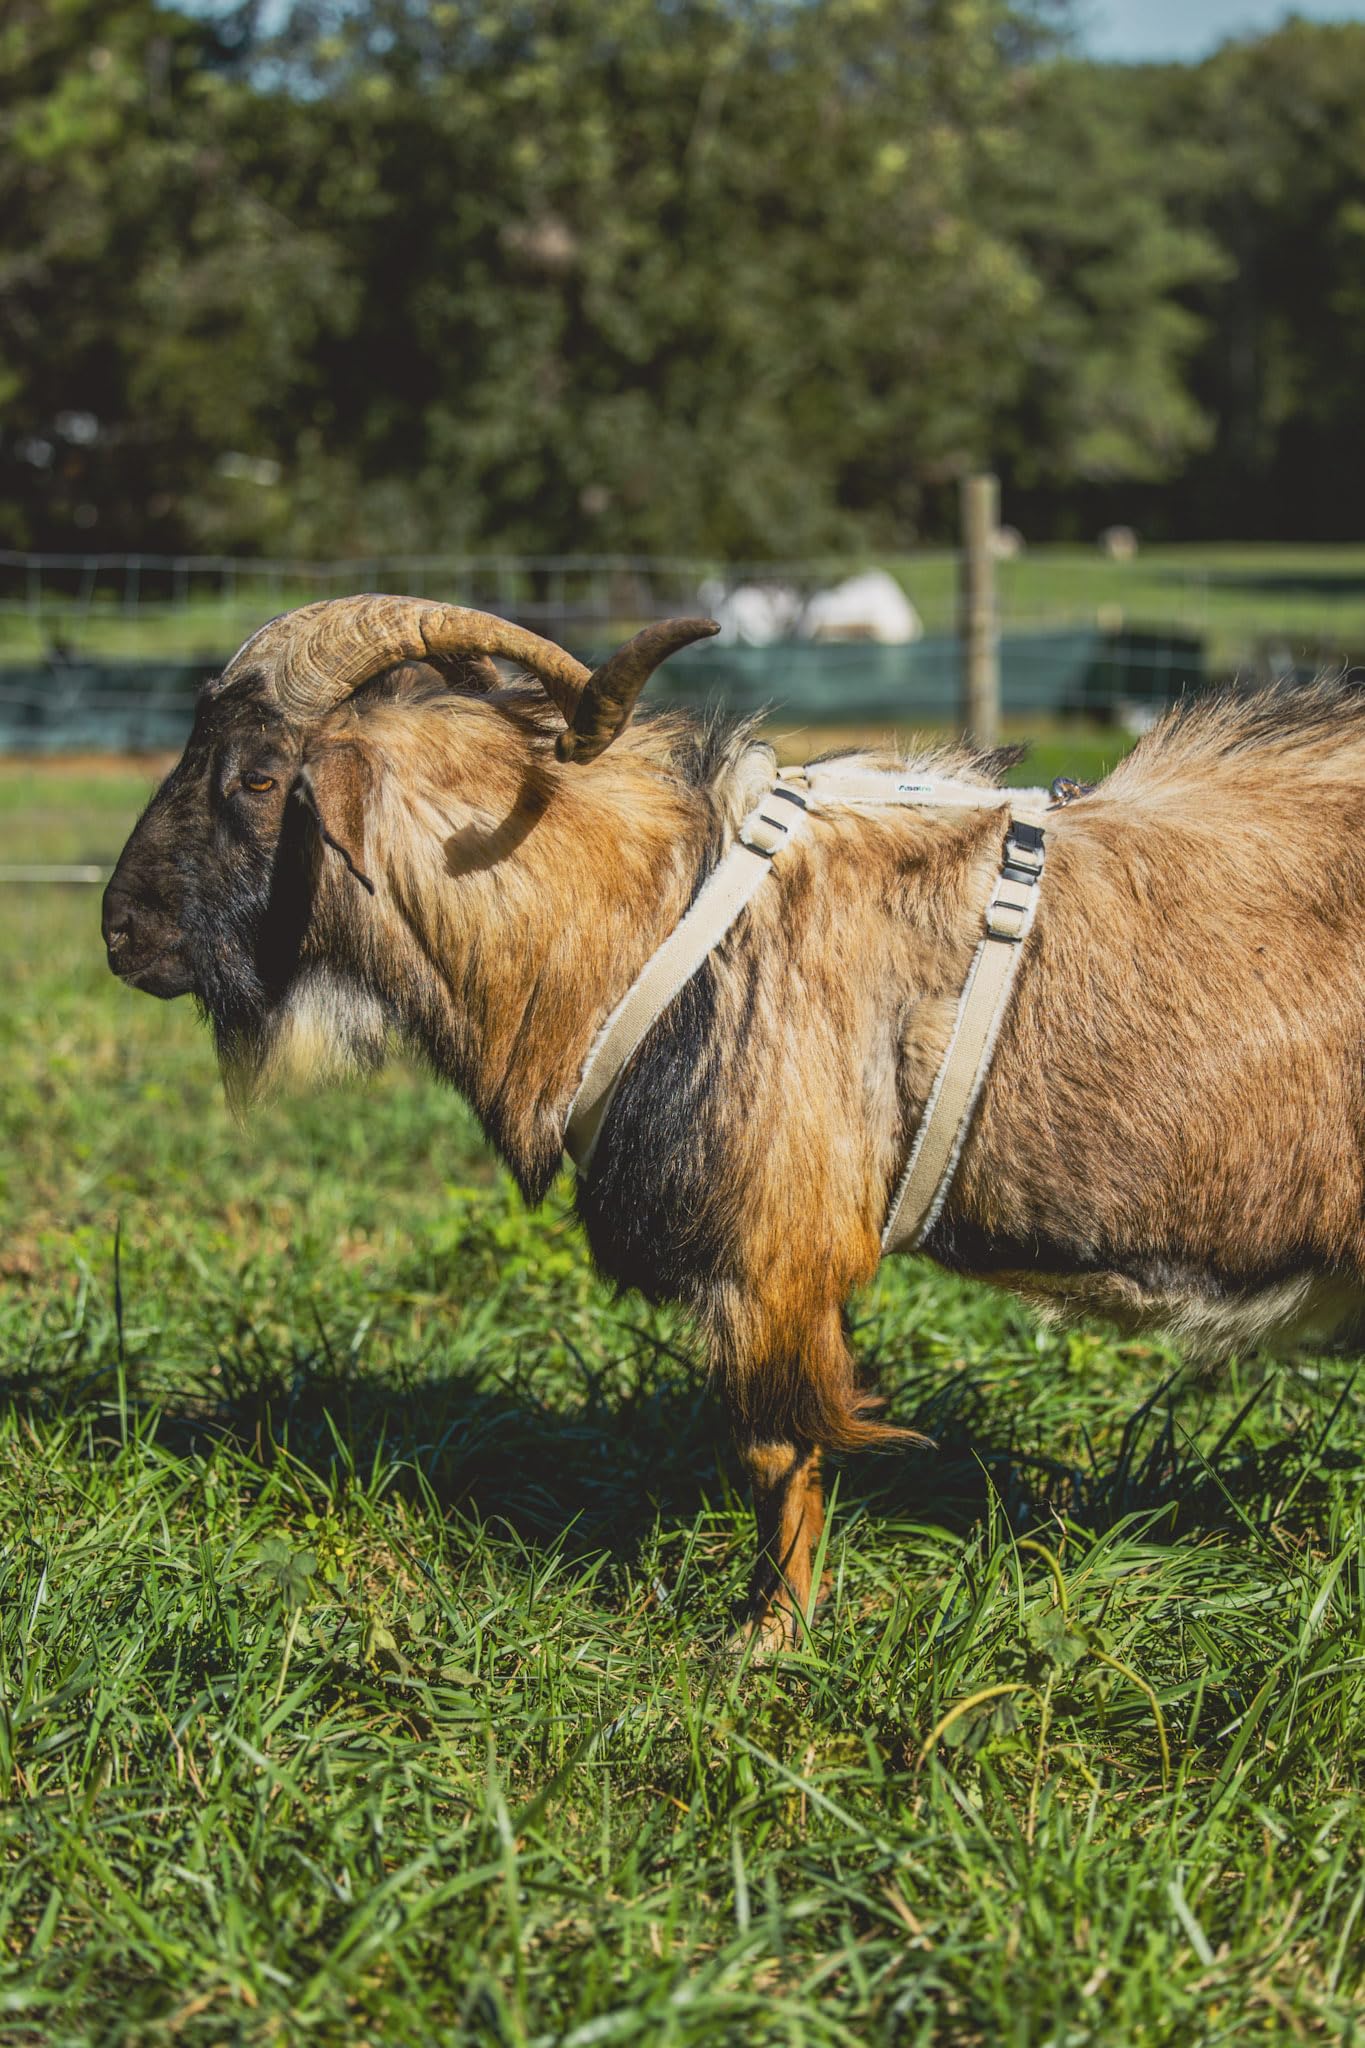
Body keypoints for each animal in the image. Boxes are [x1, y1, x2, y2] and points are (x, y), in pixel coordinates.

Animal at [103, 597, 1365, 1648]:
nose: (121, 932)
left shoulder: (772, 1249)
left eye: (257, 777)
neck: (642, 917)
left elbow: (777, 1448)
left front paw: (766, 1635)